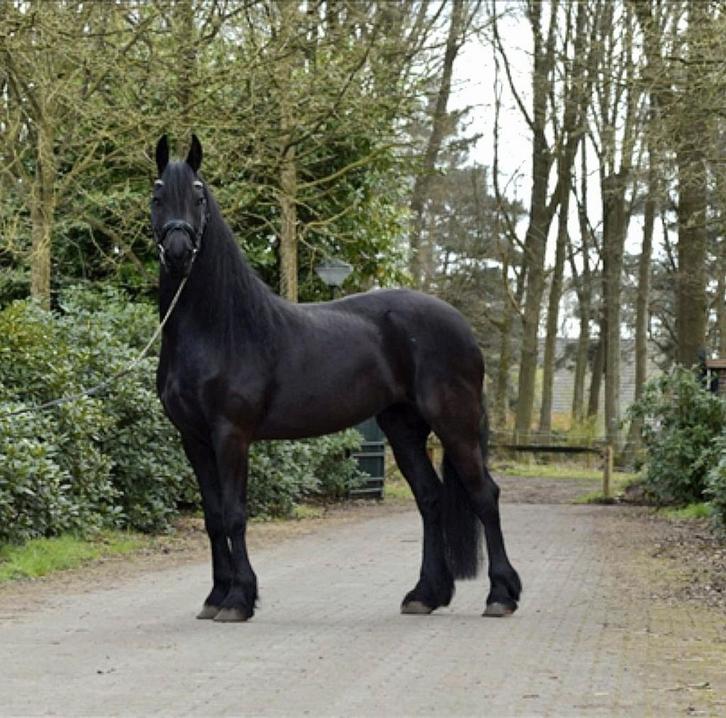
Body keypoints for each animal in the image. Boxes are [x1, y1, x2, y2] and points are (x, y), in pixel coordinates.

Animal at [152, 134, 521, 622]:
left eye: (197, 195)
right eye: (156, 195)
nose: (177, 251)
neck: (220, 328)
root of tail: (460, 326)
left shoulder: (230, 434)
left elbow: (233, 513)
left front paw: (238, 599)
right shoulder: (193, 438)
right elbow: (213, 517)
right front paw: (216, 596)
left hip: (454, 423)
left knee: (484, 495)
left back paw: (501, 595)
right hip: (402, 426)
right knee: (431, 498)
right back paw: (424, 594)